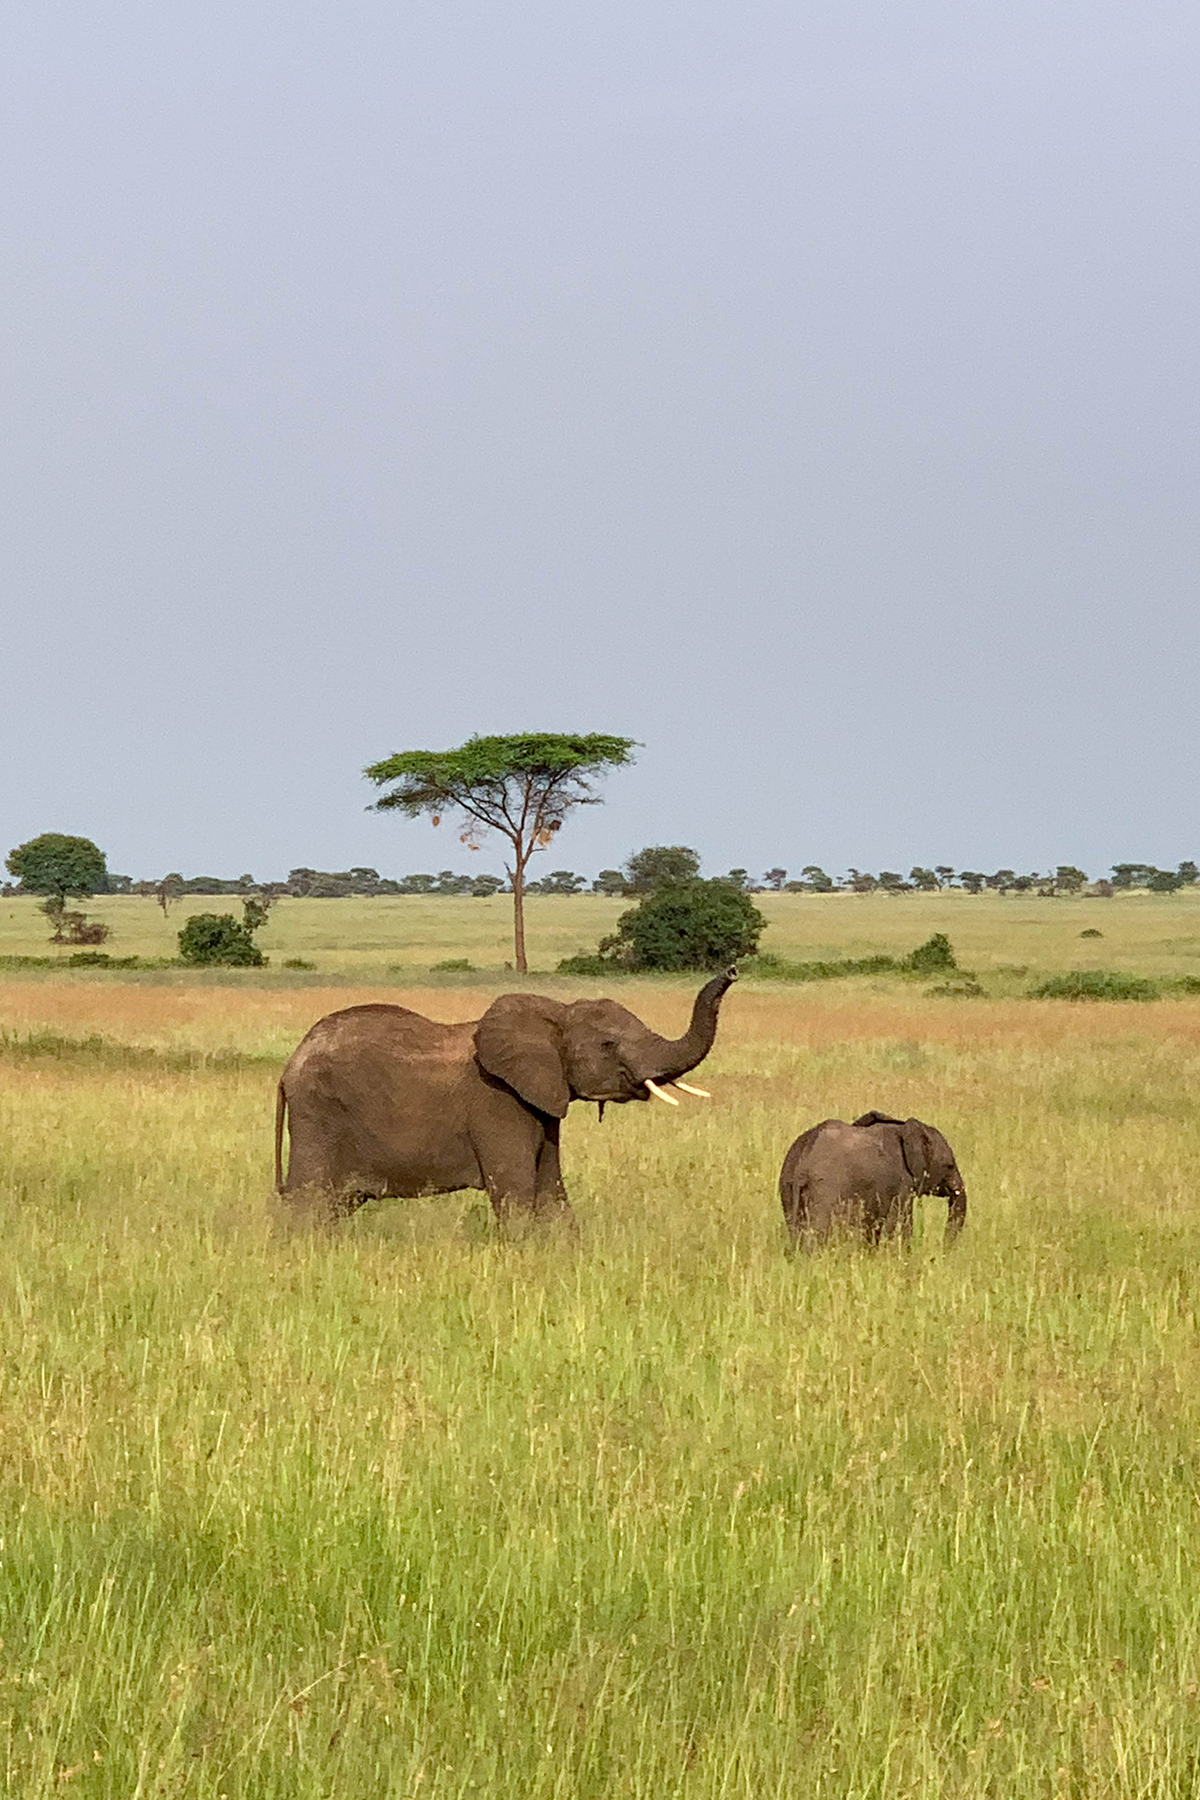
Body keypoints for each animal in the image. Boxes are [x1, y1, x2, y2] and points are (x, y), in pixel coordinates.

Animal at [275, 972, 737, 1224]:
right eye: (608, 1045)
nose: (732, 970)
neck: (555, 1014)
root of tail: (290, 1064)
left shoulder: (542, 1101)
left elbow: (551, 1194)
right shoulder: (498, 1104)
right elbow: (517, 1195)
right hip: (319, 1115)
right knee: (308, 1203)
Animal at [780, 1108, 964, 1252]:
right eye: (949, 1166)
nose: (943, 1249)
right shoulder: (902, 1184)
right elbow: (901, 1224)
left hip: (787, 1187)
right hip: (825, 1189)